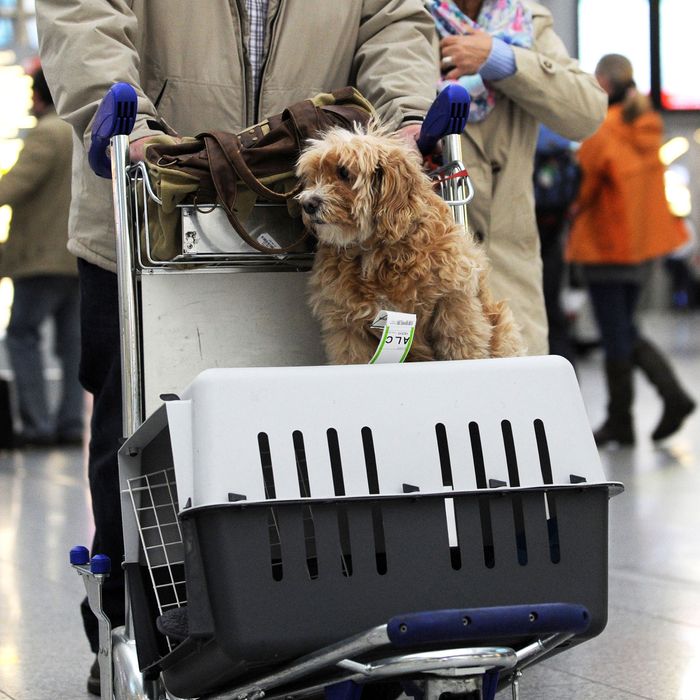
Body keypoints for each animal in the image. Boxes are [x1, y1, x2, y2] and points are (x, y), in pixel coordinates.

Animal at [296, 126, 524, 364]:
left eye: (343, 172)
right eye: (314, 176)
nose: (308, 203)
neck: (375, 249)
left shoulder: (455, 302)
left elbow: (462, 346)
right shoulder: (348, 327)